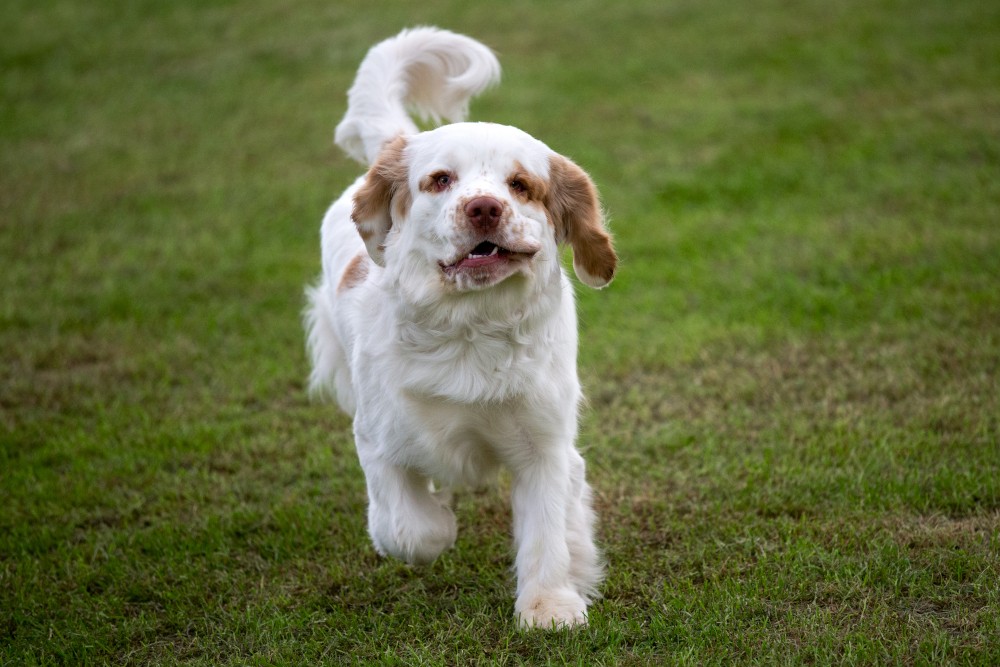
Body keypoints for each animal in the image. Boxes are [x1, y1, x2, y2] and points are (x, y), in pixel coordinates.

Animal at [304, 27, 616, 632]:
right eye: (440, 180)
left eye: (521, 185)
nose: (484, 208)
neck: (471, 327)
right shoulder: (378, 439)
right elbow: (410, 529)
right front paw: (441, 523)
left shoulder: (544, 444)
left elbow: (548, 530)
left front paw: (550, 606)